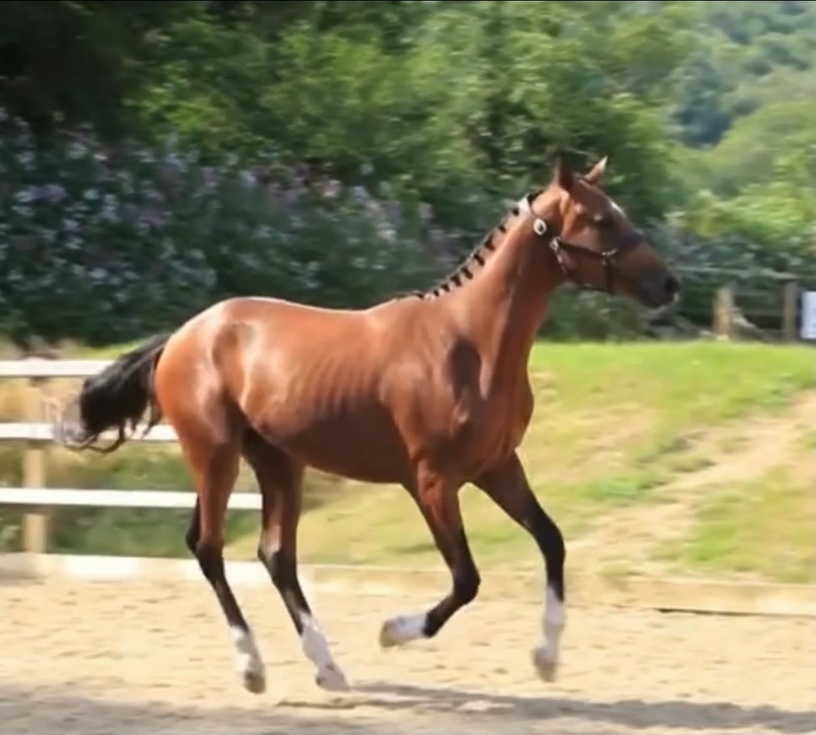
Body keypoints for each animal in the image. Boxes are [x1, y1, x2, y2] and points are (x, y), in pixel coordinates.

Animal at [56, 156, 679, 695]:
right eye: (602, 219)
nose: (668, 285)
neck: (471, 345)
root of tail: (183, 336)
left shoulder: (497, 466)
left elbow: (551, 541)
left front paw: (546, 658)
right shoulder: (432, 481)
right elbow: (466, 579)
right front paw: (392, 632)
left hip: (279, 462)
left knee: (276, 556)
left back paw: (328, 669)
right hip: (215, 455)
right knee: (208, 547)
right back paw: (252, 667)